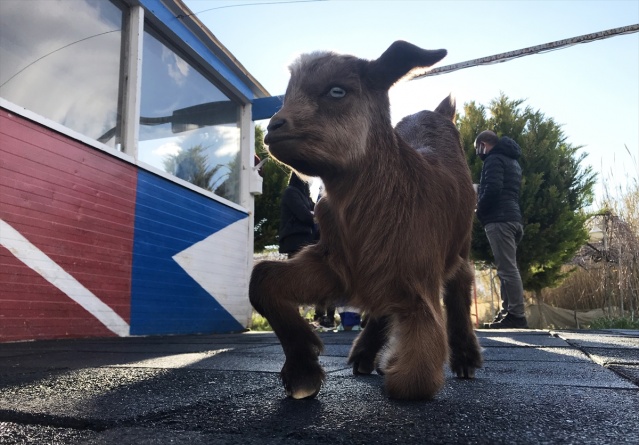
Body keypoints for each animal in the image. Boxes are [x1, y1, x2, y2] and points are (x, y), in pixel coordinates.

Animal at [250, 41, 480, 400]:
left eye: (337, 90)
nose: (274, 127)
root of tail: (438, 113)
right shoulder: (336, 265)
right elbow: (262, 280)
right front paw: (302, 372)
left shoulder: (418, 275)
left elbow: (414, 378)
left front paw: (393, 364)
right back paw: (363, 355)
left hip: (460, 243)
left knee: (460, 282)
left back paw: (466, 359)